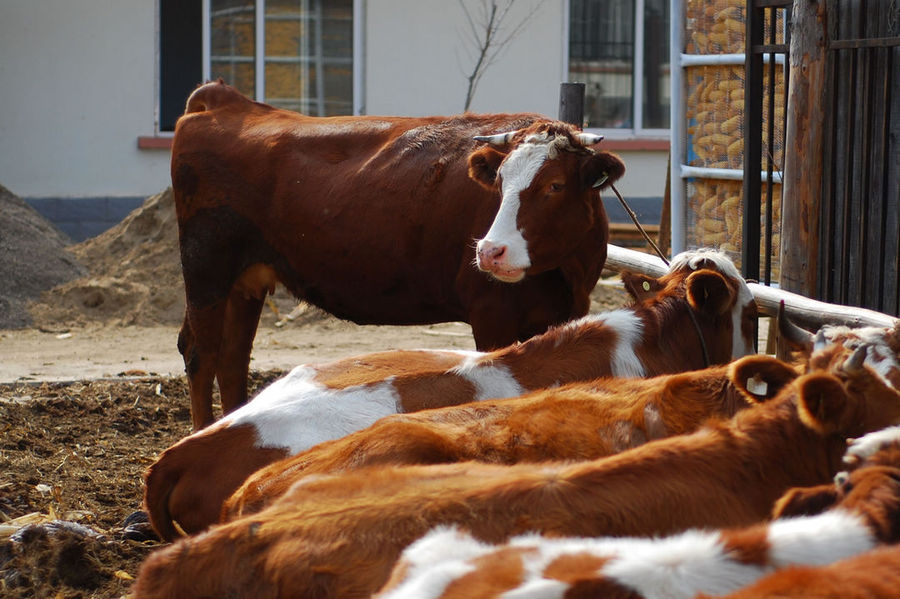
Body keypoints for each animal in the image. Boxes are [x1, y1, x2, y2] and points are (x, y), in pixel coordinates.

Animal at [172, 81, 628, 432]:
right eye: (499, 181)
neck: (564, 273)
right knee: (202, 355)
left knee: (233, 358)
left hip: (244, 282)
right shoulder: (492, 316)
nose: (489, 251)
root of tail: (227, 101)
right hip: (206, 271)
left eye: (554, 185)